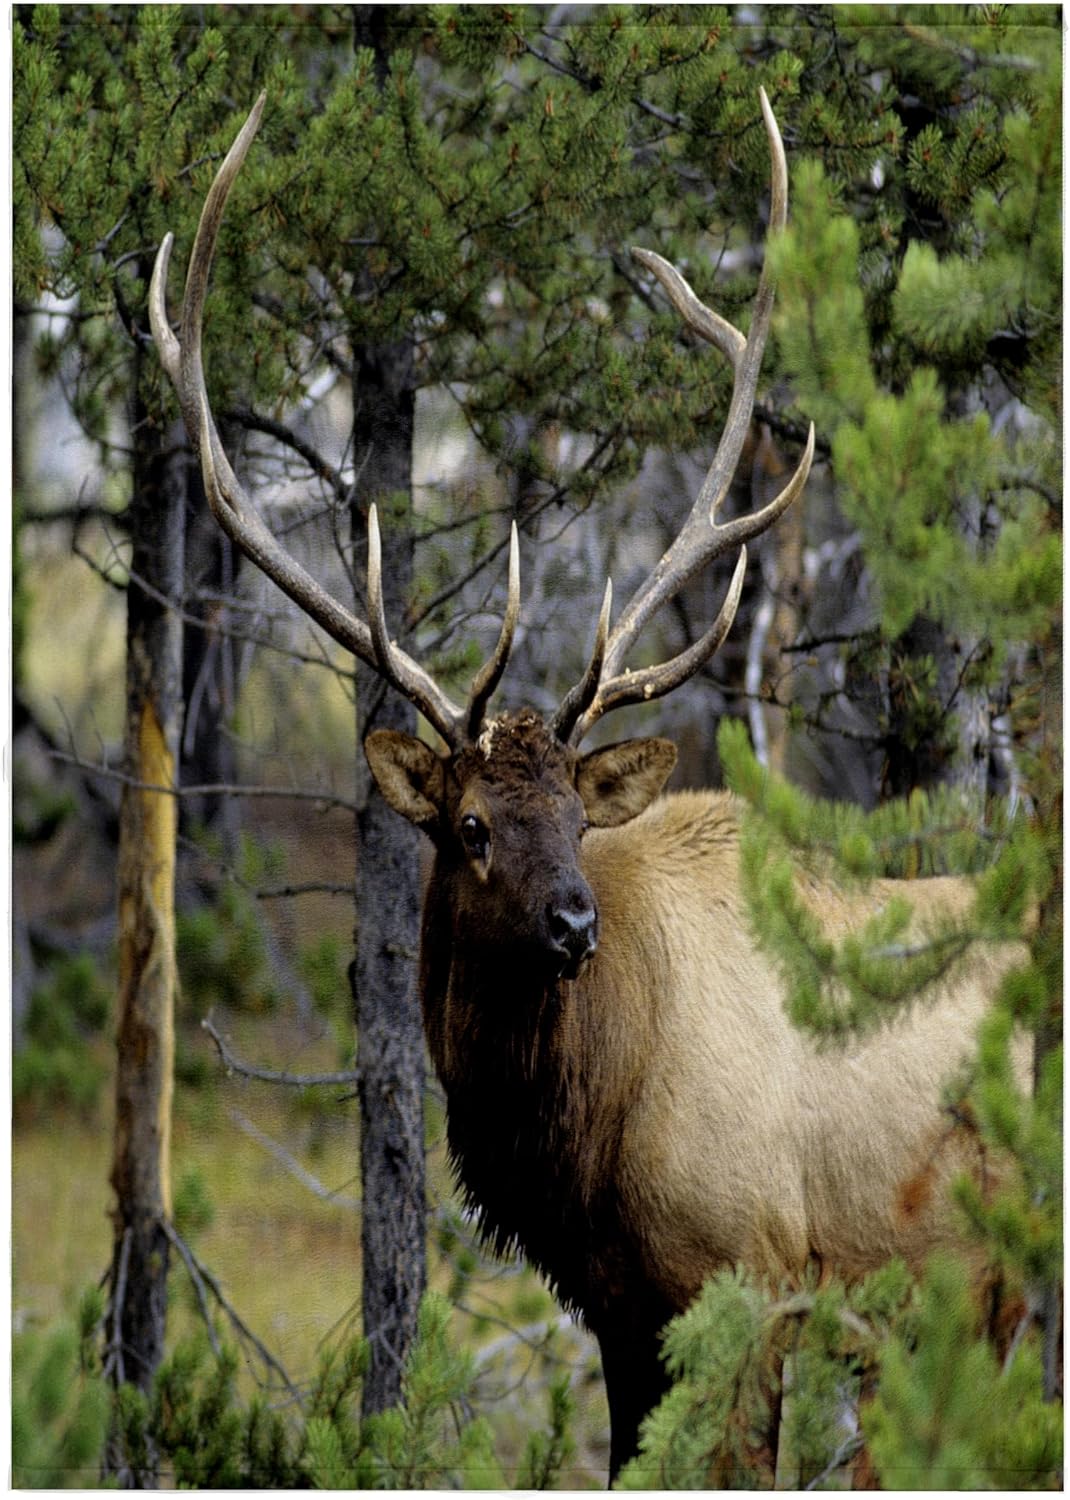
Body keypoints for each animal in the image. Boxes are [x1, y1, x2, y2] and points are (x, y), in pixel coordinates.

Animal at [149, 92, 1025, 1481]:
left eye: (572, 814)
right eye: (467, 825)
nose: (572, 922)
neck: (580, 1138)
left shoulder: (752, 1278)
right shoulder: (618, 1310)